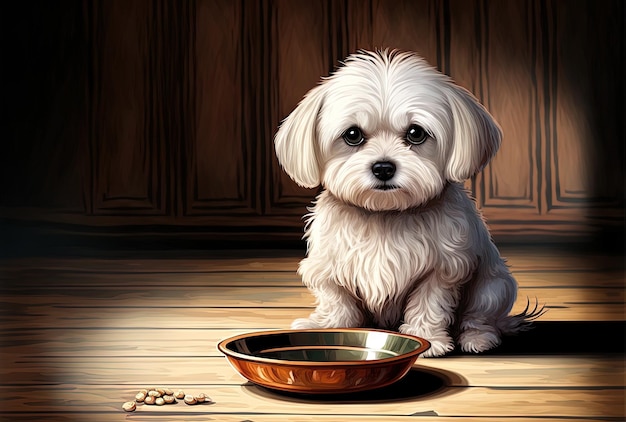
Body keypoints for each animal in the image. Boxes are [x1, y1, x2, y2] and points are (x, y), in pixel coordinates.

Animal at [272, 51, 540, 358]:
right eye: (352, 135)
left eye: (416, 133)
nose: (383, 168)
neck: (385, 213)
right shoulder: (328, 265)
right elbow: (337, 299)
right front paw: (327, 328)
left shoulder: (442, 268)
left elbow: (429, 302)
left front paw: (429, 340)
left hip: (493, 286)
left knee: (479, 316)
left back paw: (478, 338)